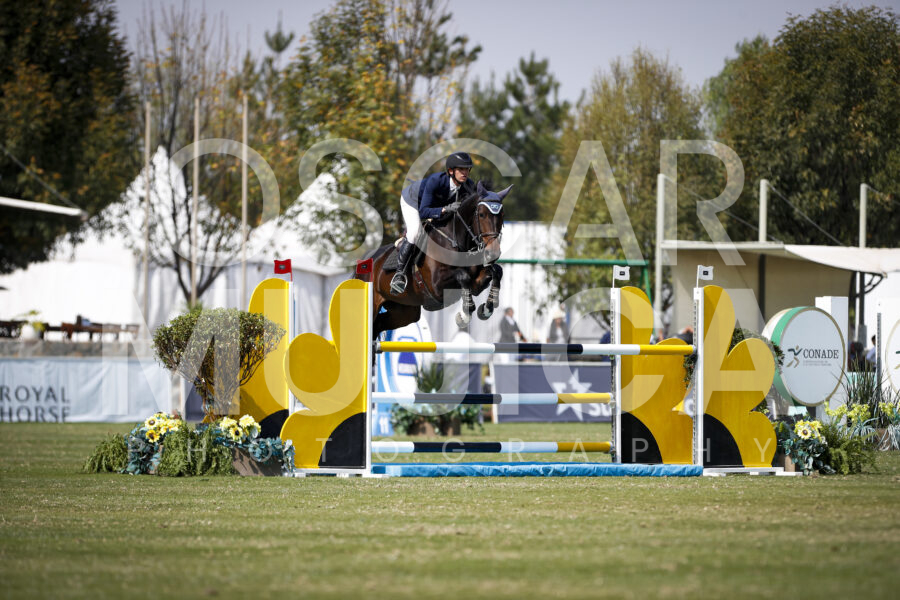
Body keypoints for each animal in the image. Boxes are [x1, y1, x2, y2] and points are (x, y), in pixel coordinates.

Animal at [358, 181, 511, 339]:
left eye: (502, 215)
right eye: (481, 215)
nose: (494, 252)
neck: (455, 241)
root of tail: (366, 261)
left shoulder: (476, 284)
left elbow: (496, 272)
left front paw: (487, 308)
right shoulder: (436, 285)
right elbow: (463, 276)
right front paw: (463, 316)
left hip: (404, 311)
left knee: (378, 326)